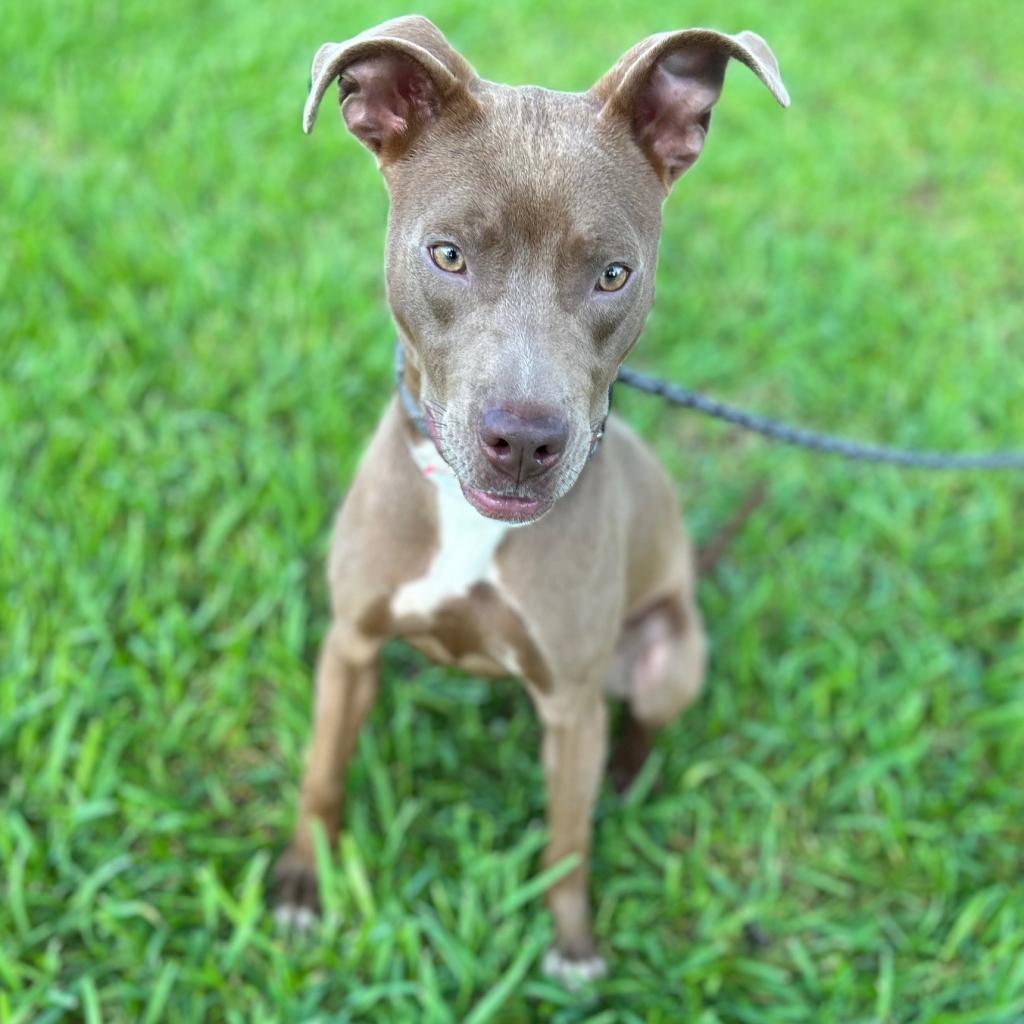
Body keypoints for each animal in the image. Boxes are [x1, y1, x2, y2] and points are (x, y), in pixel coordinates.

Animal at [270, 18, 782, 983]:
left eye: (614, 274)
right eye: (447, 255)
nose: (524, 440)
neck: (469, 522)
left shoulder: (573, 706)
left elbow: (567, 842)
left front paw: (573, 945)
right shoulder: (349, 643)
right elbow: (321, 772)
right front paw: (301, 884)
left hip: (669, 654)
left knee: (639, 727)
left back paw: (627, 780)